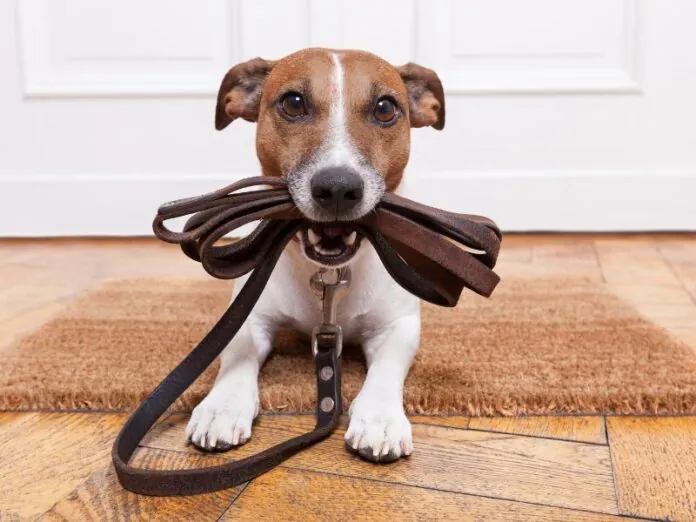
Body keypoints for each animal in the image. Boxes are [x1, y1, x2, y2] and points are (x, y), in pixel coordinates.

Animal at [186, 45, 446, 460]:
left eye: (385, 108)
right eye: (293, 103)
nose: (338, 188)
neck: (328, 274)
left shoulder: (398, 325)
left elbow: (388, 366)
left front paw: (379, 418)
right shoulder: (249, 317)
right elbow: (237, 353)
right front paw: (221, 406)